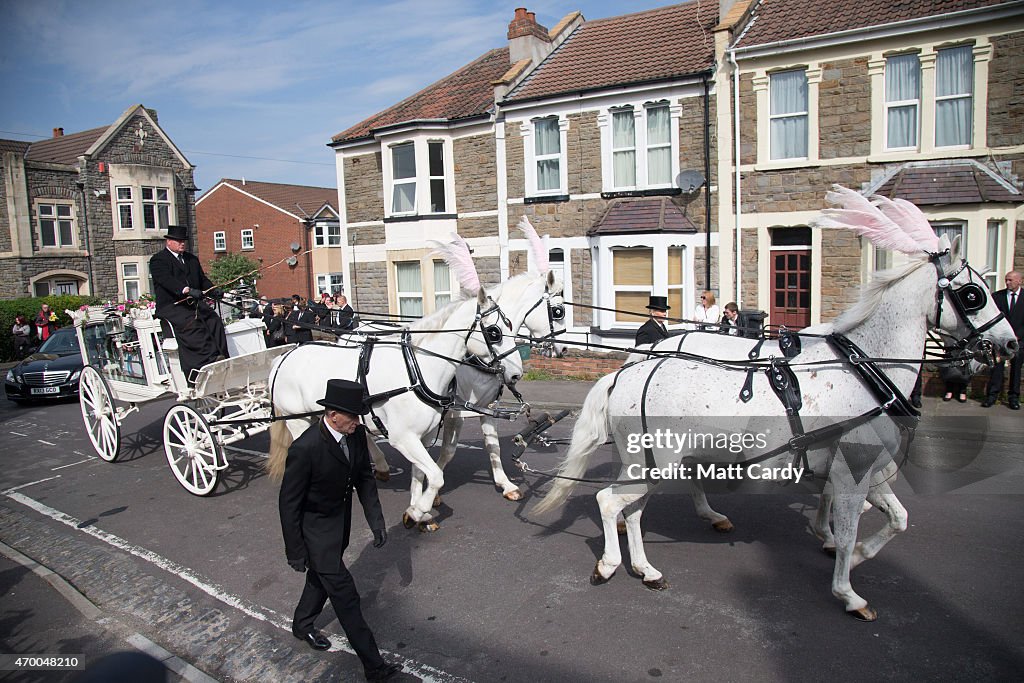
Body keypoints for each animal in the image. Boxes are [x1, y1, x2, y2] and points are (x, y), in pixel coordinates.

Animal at [266, 280, 520, 532]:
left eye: (511, 325)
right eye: (494, 332)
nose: (517, 374)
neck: (417, 370)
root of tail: (283, 357)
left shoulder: (423, 436)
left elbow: (420, 474)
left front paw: (419, 512)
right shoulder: (403, 437)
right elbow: (436, 475)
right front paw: (418, 511)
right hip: (297, 419)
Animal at [536, 187, 1015, 618]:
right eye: (972, 293)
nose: (1008, 344)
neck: (865, 369)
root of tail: (626, 374)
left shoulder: (866, 468)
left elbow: (897, 518)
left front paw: (856, 551)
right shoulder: (851, 471)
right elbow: (849, 526)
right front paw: (848, 589)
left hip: (653, 461)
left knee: (633, 509)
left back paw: (647, 566)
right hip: (654, 461)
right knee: (611, 503)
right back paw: (612, 562)